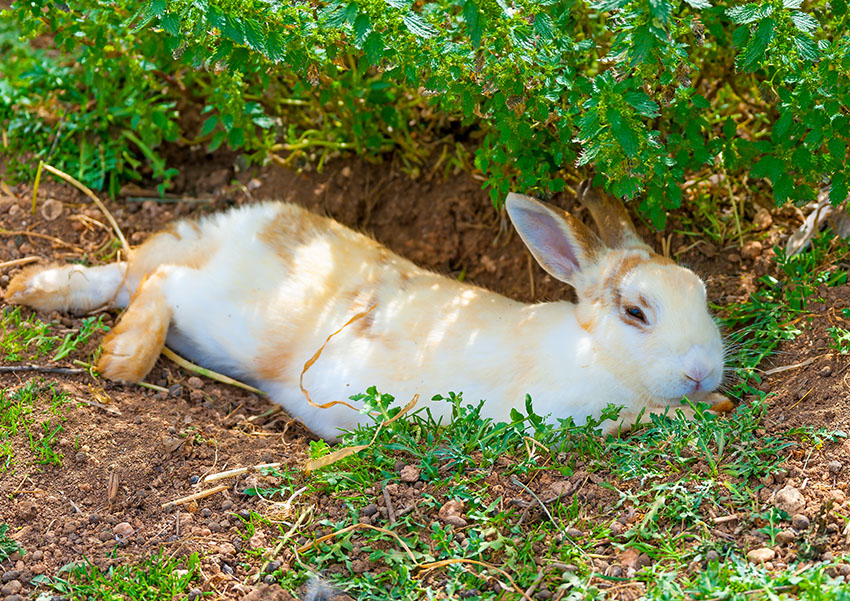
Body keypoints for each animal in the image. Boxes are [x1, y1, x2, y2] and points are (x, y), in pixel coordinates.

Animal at [3, 180, 724, 438]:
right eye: (636, 313)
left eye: (703, 292)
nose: (704, 370)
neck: (595, 351)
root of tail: (252, 227)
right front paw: (696, 408)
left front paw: (713, 401)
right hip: (232, 321)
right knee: (163, 281)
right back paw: (123, 358)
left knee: (129, 277)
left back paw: (34, 289)